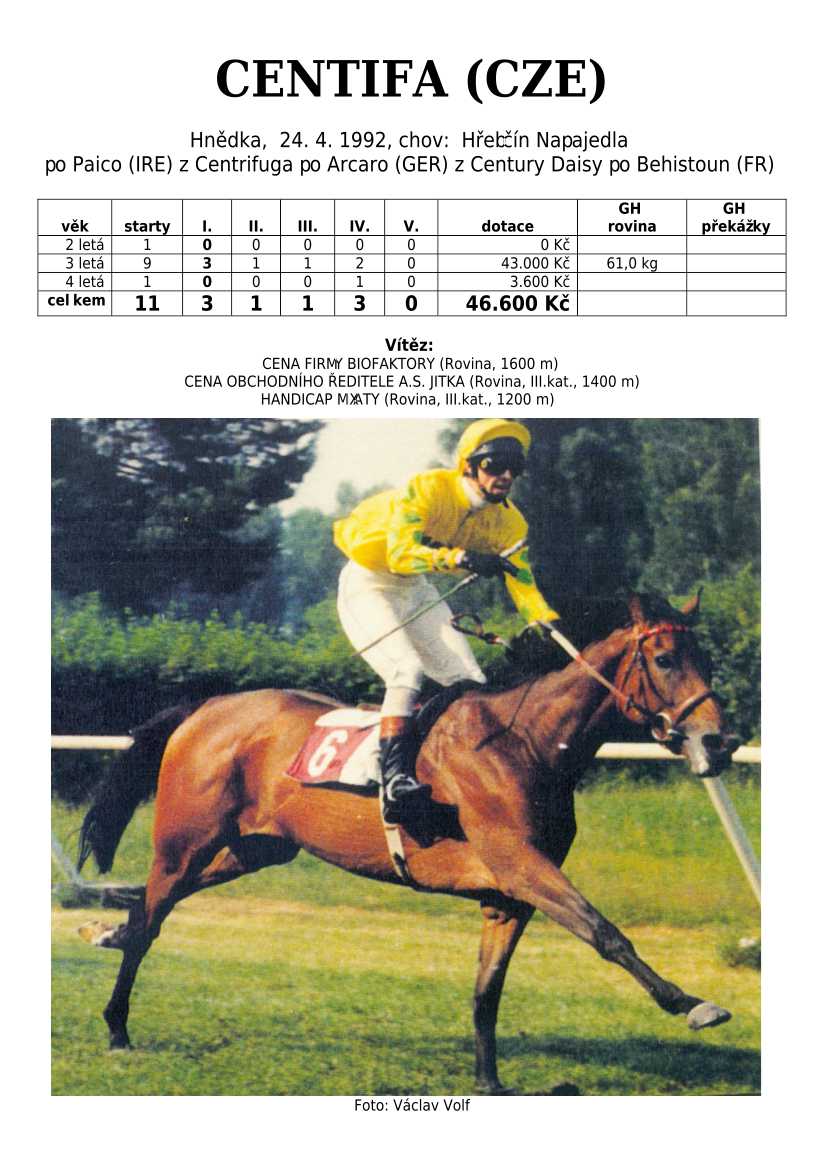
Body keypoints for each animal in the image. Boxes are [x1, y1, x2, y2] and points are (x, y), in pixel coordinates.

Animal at [76, 592, 740, 1094]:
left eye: (706, 657)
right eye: (664, 658)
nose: (720, 742)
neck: (526, 742)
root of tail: (205, 707)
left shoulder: (508, 896)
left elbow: (487, 989)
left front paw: (489, 1081)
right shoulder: (522, 867)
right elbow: (606, 932)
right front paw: (691, 1003)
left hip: (254, 848)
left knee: (153, 907)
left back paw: (112, 935)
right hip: (184, 843)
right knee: (154, 914)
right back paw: (116, 1023)